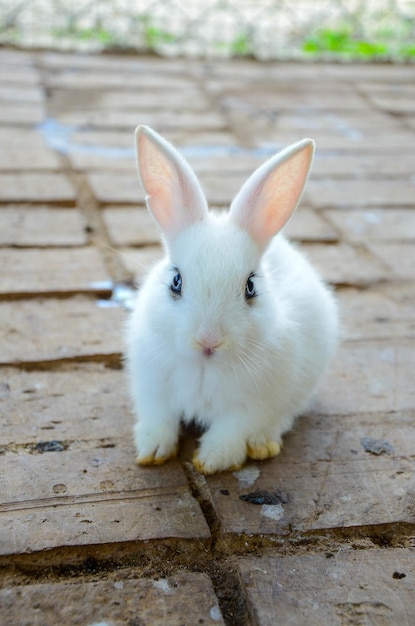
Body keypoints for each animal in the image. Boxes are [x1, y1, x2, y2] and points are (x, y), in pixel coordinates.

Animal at [126, 125, 338, 472]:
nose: (209, 341)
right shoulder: (152, 389)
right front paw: (153, 451)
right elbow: (160, 420)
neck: (205, 366)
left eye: (250, 286)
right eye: (175, 281)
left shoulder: (253, 406)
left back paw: (263, 444)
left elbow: (230, 431)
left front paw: (210, 461)